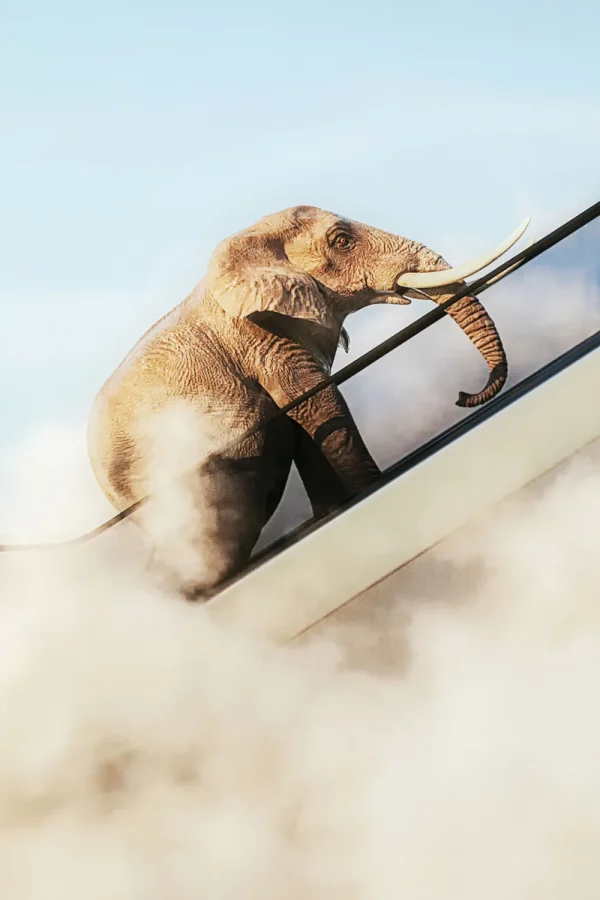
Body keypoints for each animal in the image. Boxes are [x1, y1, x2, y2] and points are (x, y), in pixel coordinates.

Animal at [87, 205, 527, 598]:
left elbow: (308, 423)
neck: (252, 241)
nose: (462, 396)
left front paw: (334, 512)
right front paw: (370, 490)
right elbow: (322, 407)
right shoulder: (262, 340)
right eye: (341, 240)